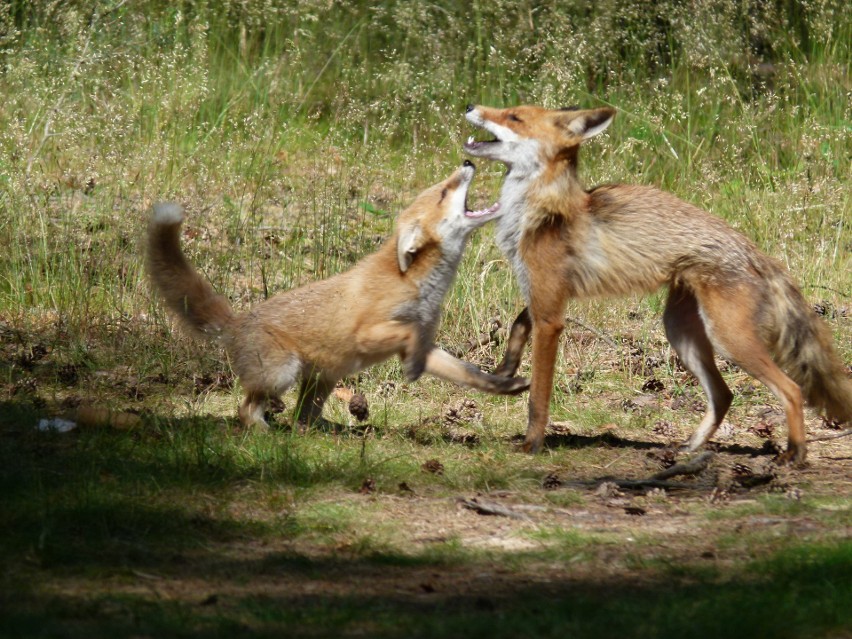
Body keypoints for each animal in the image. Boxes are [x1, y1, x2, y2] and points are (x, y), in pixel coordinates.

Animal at [150, 161, 528, 430]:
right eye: (443, 193)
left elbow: (469, 375)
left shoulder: (425, 343)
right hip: (282, 373)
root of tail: (237, 321)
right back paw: (263, 431)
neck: (416, 283)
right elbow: (407, 339)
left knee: (303, 418)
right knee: (247, 410)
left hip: (322, 381)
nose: (468, 161)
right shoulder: (375, 334)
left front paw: (504, 383)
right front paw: (411, 372)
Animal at [466, 105, 852, 464]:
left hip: (730, 340)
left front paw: (531, 444)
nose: (472, 106)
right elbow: (519, 323)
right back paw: (691, 447)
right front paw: (505, 370)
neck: (539, 211)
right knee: (724, 394)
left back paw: (795, 453)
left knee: (792, 390)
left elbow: (538, 396)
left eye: (514, 117)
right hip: (682, 333)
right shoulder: (545, 295)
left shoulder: (550, 316)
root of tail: (755, 252)